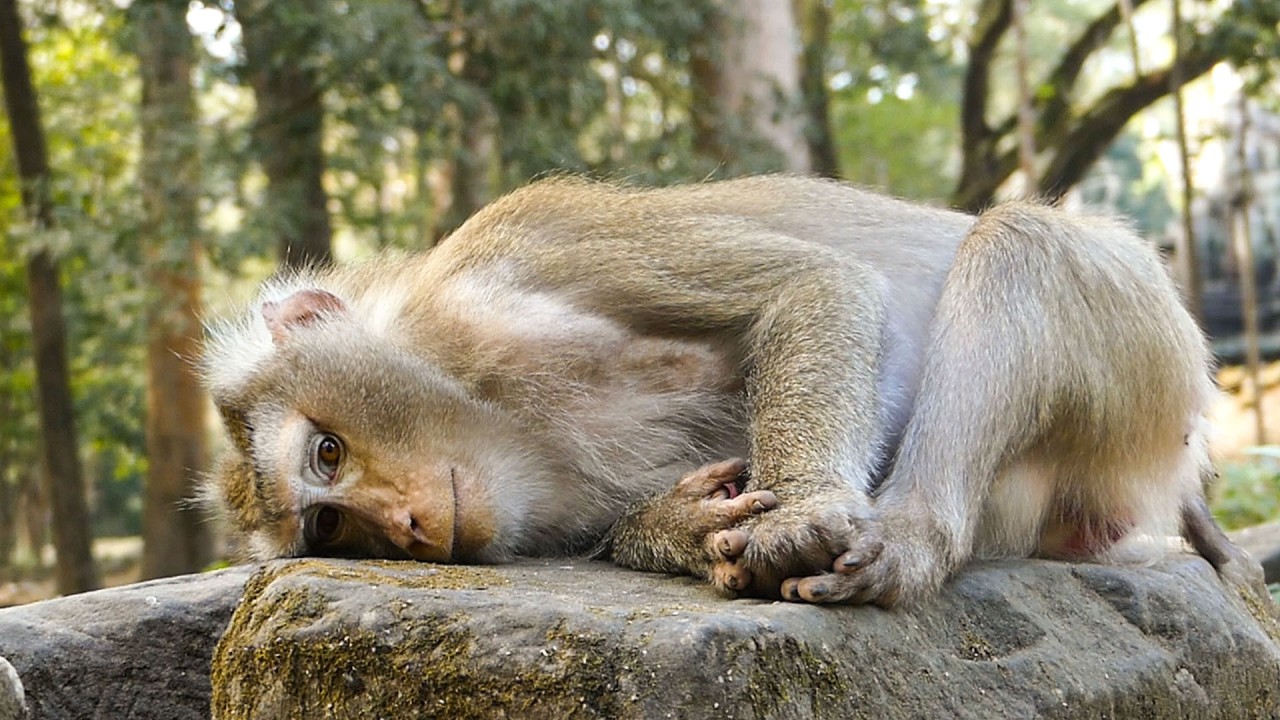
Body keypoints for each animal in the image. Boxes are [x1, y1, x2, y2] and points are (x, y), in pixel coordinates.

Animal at [202, 175, 1263, 608]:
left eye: (327, 452)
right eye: (330, 528)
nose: (408, 530)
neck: (481, 394)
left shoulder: (528, 246)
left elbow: (814, 290)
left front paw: (799, 516)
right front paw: (678, 528)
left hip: (1149, 351)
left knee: (1019, 242)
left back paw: (914, 538)